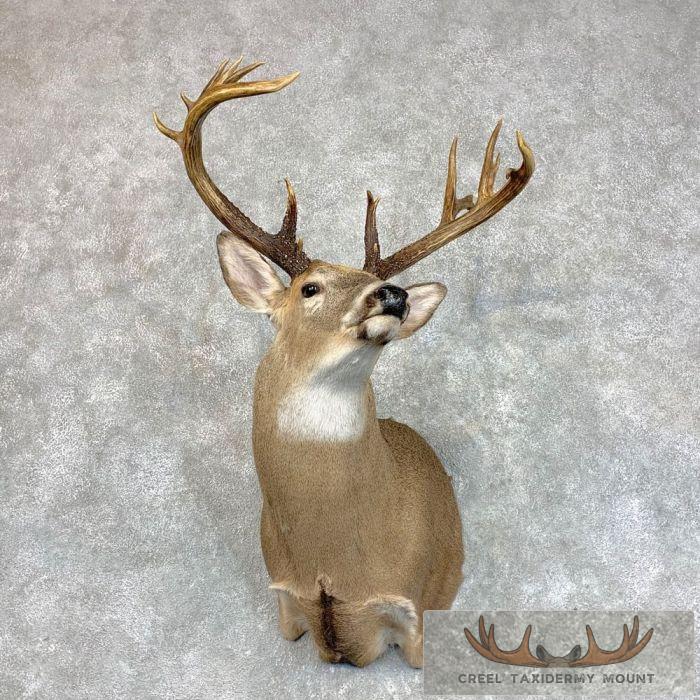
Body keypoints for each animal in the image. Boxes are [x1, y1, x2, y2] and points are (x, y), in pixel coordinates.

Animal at [153, 57, 534, 668]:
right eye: (309, 287)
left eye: (375, 282)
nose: (394, 294)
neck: (332, 562)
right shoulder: (285, 599)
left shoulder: (415, 612)